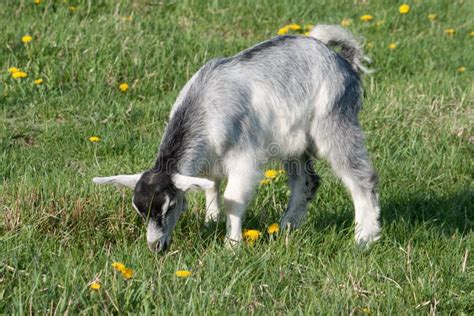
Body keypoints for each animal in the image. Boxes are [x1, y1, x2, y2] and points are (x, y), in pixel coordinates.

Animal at [92, 24, 382, 252]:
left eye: (171, 206)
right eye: (139, 210)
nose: (155, 247)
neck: (204, 106)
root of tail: (342, 61)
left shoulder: (244, 157)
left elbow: (233, 198)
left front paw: (232, 245)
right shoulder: (210, 158)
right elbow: (211, 185)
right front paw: (211, 220)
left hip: (335, 122)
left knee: (361, 177)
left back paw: (364, 238)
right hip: (294, 143)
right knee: (307, 181)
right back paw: (286, 227)